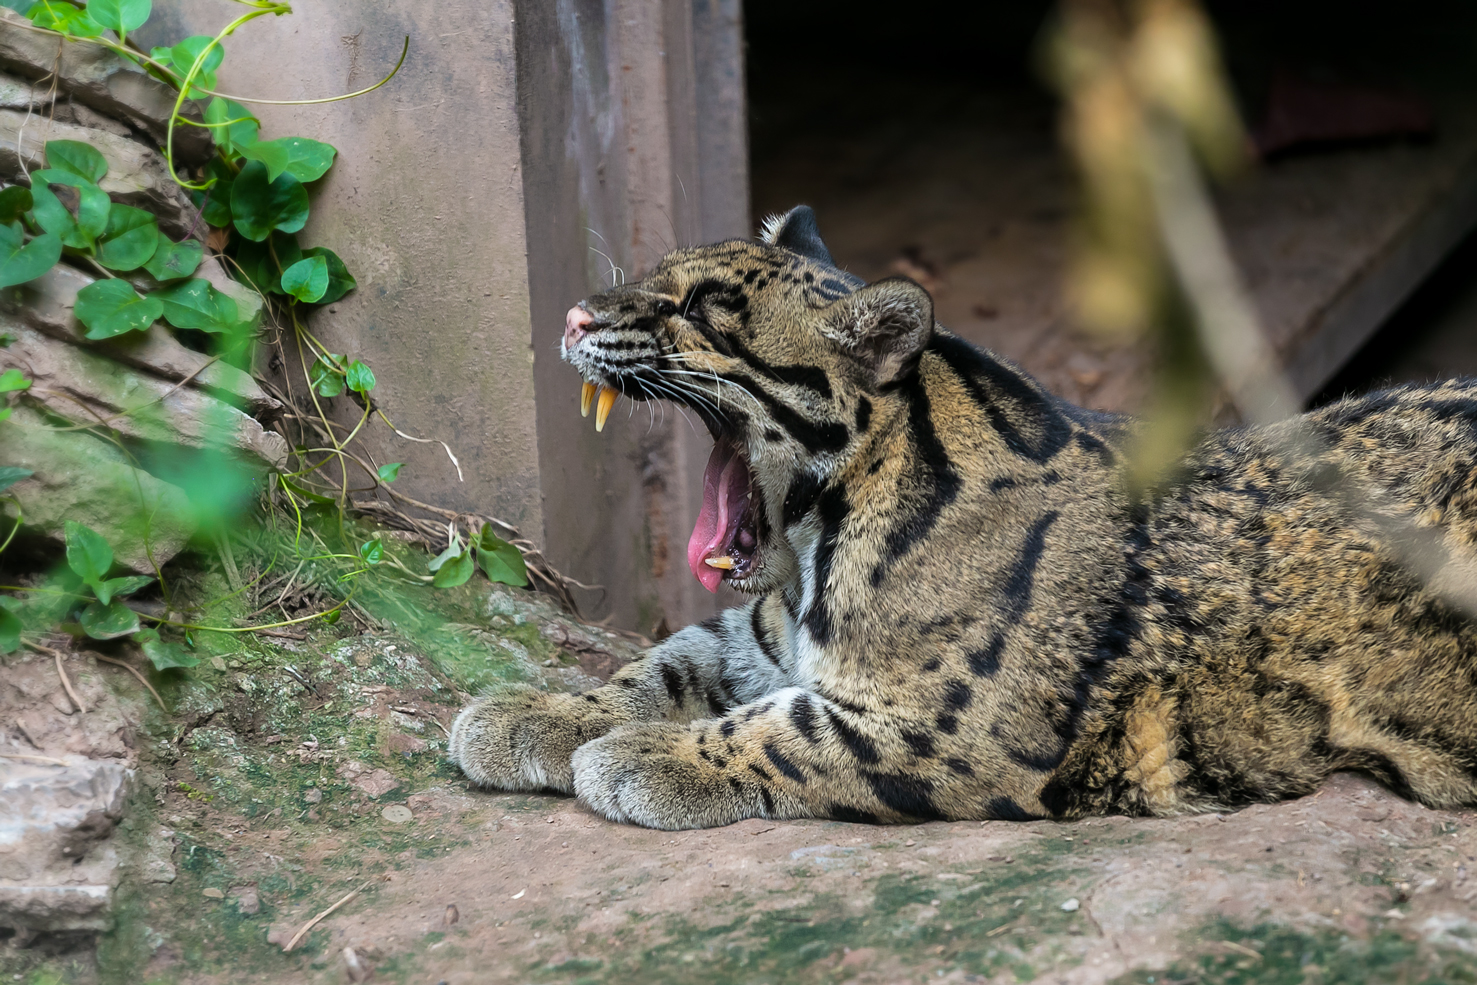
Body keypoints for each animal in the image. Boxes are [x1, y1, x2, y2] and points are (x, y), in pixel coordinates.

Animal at [449, 205, 1477, 830]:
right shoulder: (764, 630)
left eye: (704, 307)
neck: (823, 544)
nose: (574, 317)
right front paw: (544, 710)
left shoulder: (969, 730)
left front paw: (646, 754)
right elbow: (674, 655)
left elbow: (786, 728)